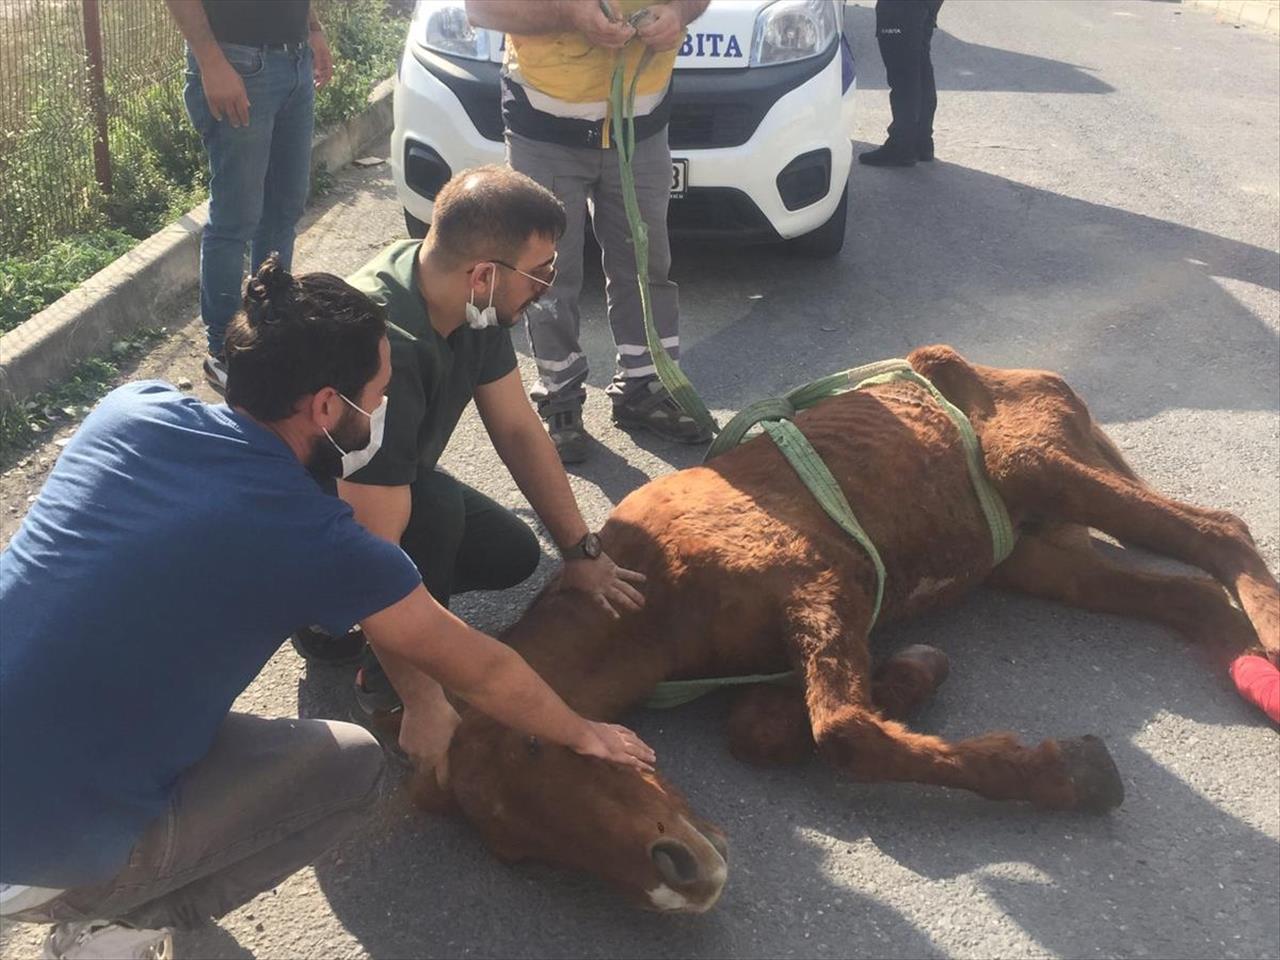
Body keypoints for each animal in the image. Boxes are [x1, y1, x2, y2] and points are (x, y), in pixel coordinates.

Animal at [401, 345, 1280, 916]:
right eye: (517, 855)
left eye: (536, 744)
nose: (682, 881)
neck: (652, 594)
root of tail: (1018, 374)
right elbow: (763, 730)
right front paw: (915, 674)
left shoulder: (824, 584)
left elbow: (848, 735)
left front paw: (1071, 773)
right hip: (1035, 557)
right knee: (1192, 595)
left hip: (1040, 466)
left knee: (1221, 533)